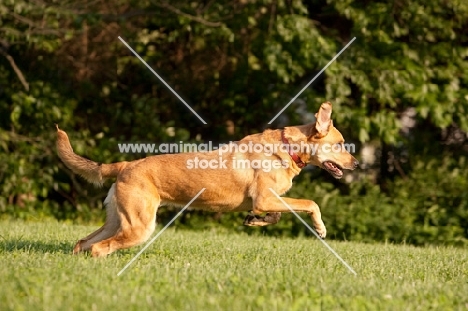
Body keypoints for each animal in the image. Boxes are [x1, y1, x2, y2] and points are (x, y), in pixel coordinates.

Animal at [57, 103, 358, 258]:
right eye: (340, 144)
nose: (356, 164)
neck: (288, 147)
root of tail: (125, 165)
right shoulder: (265, 198)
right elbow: (310, 203)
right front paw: (320, 228)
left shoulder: (267, 201)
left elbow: (275, 215)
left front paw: (255, 221)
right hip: (139, 227)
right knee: (99, 248)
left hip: (118, 221)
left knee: (83, 242)